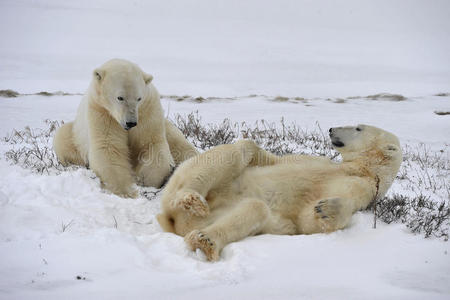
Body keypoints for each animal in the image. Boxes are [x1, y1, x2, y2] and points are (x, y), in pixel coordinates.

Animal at [53, 59, 198, 198]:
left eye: (139, 98)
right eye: (120, 97)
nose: (131, 122)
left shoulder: (148, 110)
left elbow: (150, 144)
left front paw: (142, 180)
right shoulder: (101, 112)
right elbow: (108, 147)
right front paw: (126, 191)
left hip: (167, 126)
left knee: (180, 143)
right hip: (75, 134)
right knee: (62, 137)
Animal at [157, 124, 400, 260]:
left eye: (359, 128)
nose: (332, 129)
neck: (362, 168)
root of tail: (175, 222)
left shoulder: (365, 189)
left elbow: (309, 220)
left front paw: (326, 208)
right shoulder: (319, 161)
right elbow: (273, 160)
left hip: (213, 215)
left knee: (256, 209)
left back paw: (205, 240)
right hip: (195, 181)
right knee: (239, 150)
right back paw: (191, 198)